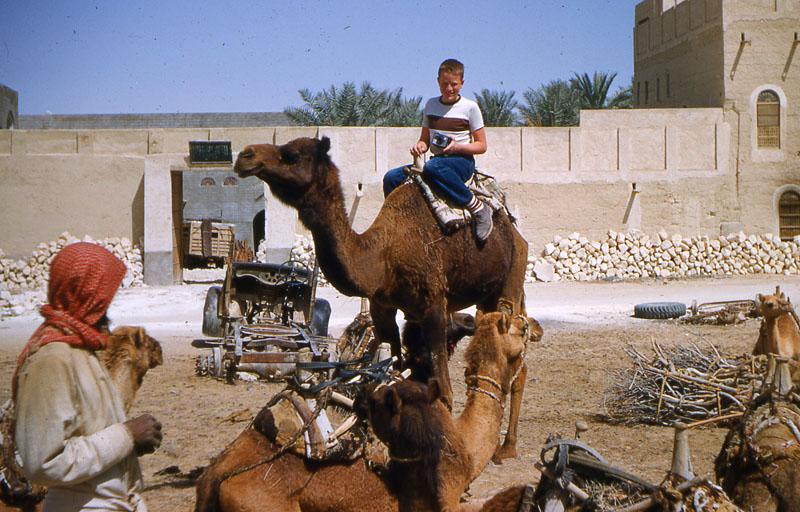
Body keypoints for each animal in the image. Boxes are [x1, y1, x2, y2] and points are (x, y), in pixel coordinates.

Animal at [234, 135, 528, 436]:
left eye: (291, 154)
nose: (245, 156)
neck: (382, 256)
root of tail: (509, 222)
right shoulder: (382, 307)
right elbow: (394, 363)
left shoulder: (434, 305)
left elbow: (443, 387)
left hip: (512, 276)